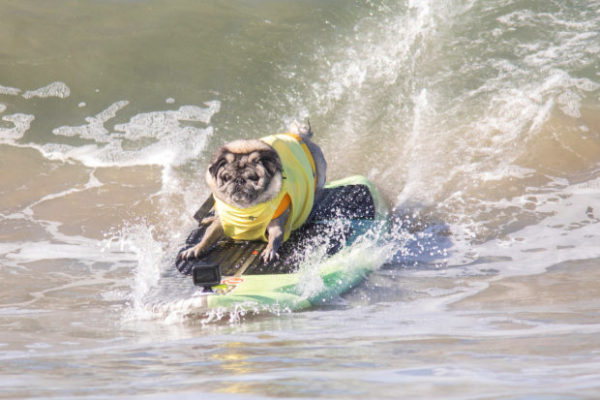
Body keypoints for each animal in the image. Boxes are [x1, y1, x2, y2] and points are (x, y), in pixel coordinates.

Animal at [178, 122, 328, 266]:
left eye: (253, 177)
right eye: (226, 177)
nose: (239, 180)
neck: (247, 208)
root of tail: (300, 136)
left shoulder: (276, 223)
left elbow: (275, 237)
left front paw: (269, 250)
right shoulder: (221, 222)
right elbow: (208, 236)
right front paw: (196, 248)